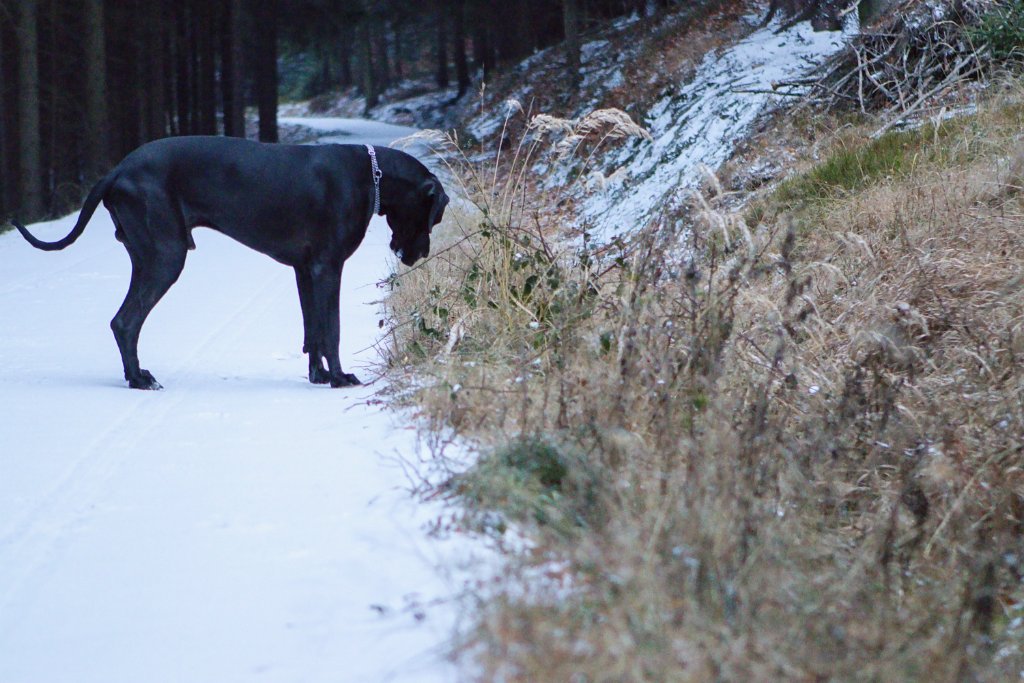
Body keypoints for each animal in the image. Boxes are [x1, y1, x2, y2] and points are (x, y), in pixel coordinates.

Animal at [14, 136, 448, 389]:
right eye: (437, 215)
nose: (421, 254)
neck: (371, 174)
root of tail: (117, 169)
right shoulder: (328, 268)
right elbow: (332, 330)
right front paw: (340, 378)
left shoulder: (305, 271)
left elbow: (312, 332)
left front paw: (319, 375)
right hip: (166, 256)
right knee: (125, 321)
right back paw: (138, 379)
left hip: (147, 255)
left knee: (125, 320)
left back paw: (135, 375)